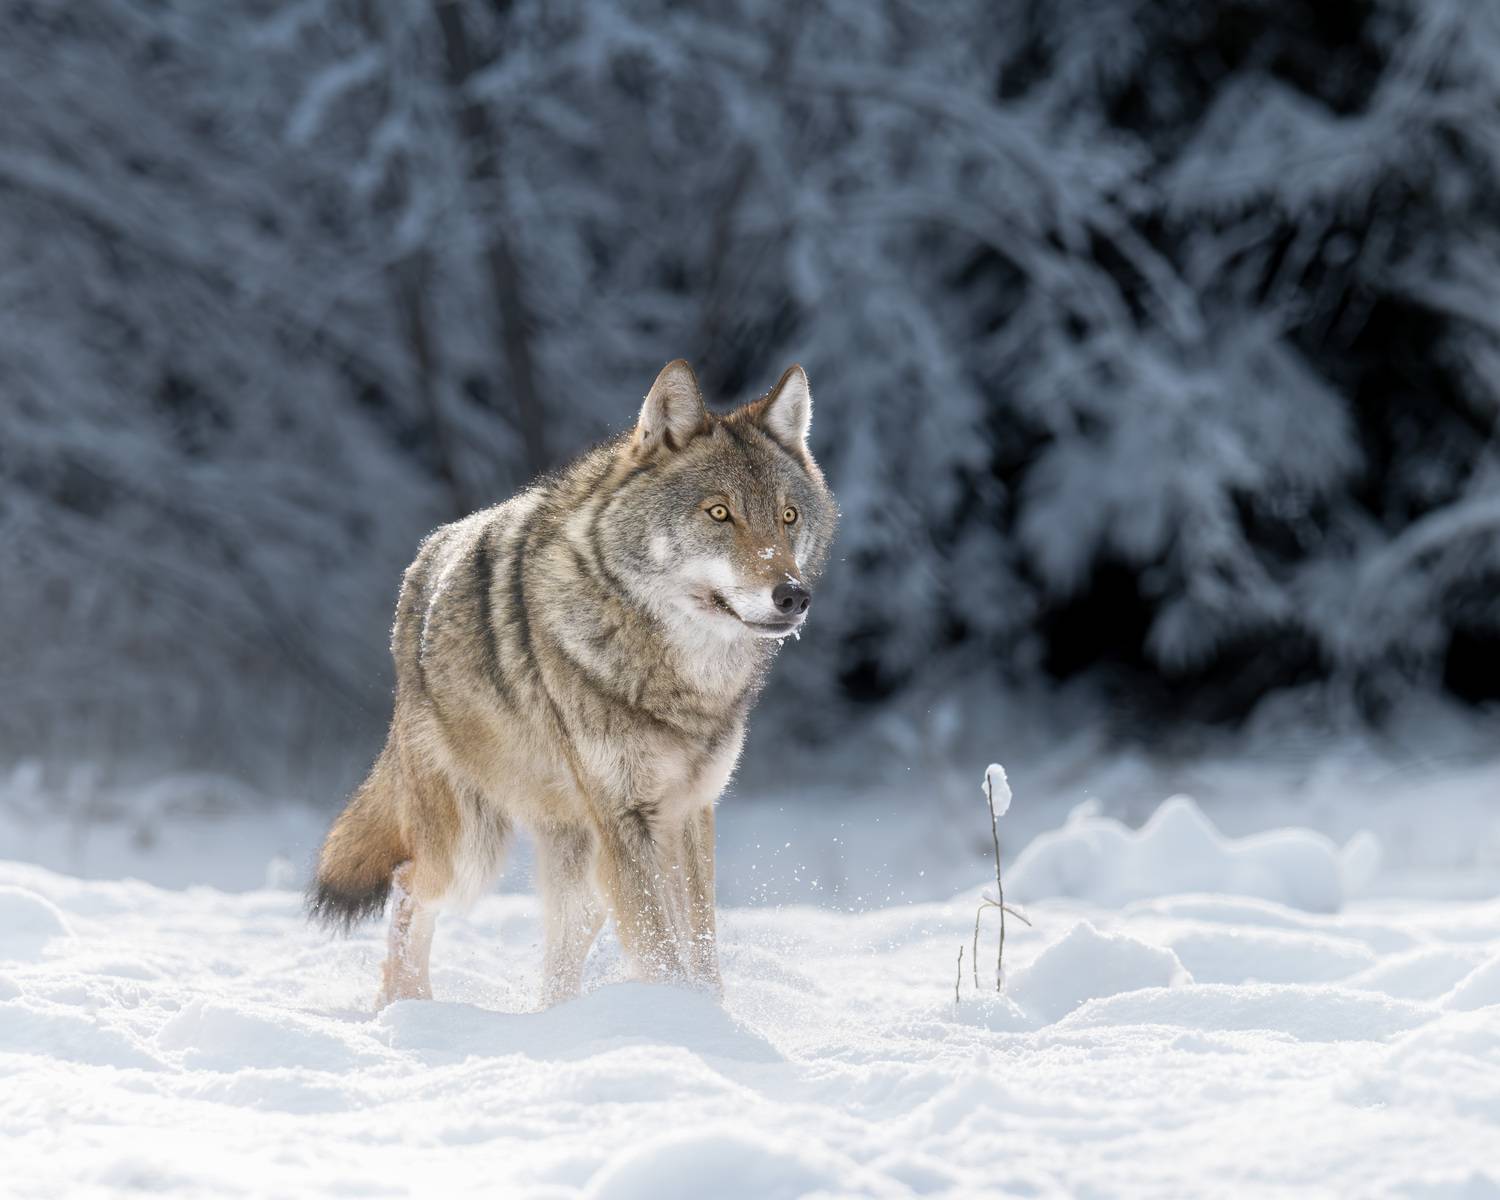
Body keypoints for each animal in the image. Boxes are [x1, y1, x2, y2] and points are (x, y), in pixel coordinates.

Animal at [309, 360, 836, 1007]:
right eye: (719, 513)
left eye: (788, 516)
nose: (792, 595)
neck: (679, 683)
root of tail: (422, 562)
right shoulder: (626, 819)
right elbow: (663, 956)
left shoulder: (688, 813)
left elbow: (700, 953)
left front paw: (702, 1018)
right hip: (470, 851)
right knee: (409, 885)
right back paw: (406, 1009)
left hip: (581, 874)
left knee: (558, 953)